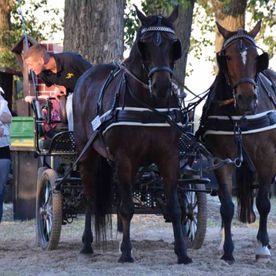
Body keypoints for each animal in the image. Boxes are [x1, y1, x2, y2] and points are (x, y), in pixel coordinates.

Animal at [73, 6, 194, 264]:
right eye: (144, 45)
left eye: (173, 45)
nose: (161, 86)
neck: (149, 104)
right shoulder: (124, 158)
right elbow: (127, 208)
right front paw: (126, 251)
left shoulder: (169, 157)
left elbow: (174, 207)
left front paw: (182, 252)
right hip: (87, 153)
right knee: (90, 196)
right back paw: (87, 243)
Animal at [197, 22, 276, 264]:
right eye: (228, 57)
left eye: (256, 57)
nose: (247, 98)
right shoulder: (222, 158)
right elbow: (227, 207)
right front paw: (228, 250)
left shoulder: (267, 156)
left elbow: (264, 203)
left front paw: (263, 248)